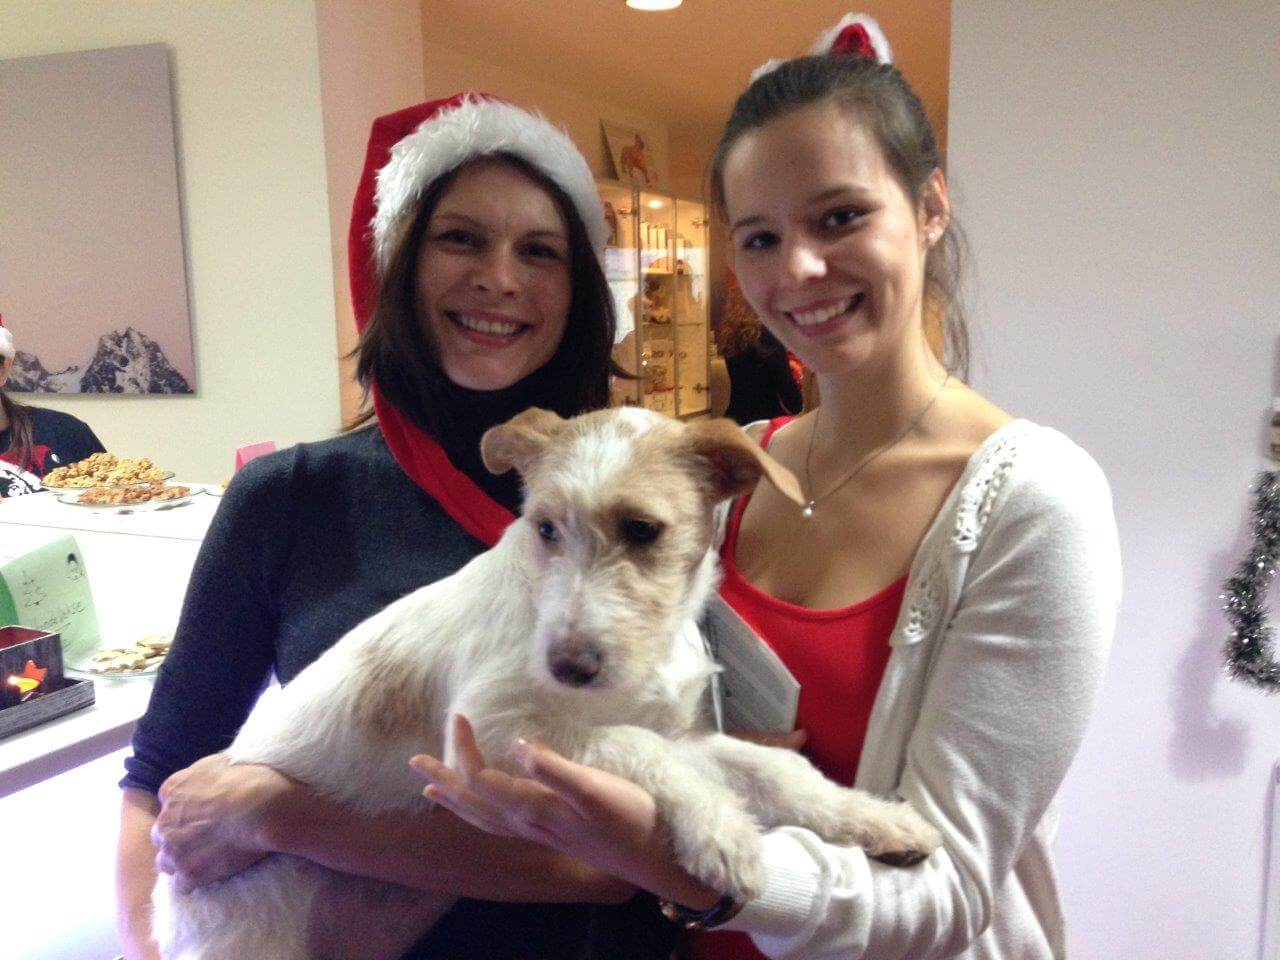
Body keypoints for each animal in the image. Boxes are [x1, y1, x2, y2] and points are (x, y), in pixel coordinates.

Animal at [152, 407, 941, 959]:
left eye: (643, 530)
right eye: (545, 529)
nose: (569, 665)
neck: (645, 653)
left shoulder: (685, 735)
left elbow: (772, 769)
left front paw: (876, 820)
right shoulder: (494, 731)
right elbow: (639, 749)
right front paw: (722, 834)